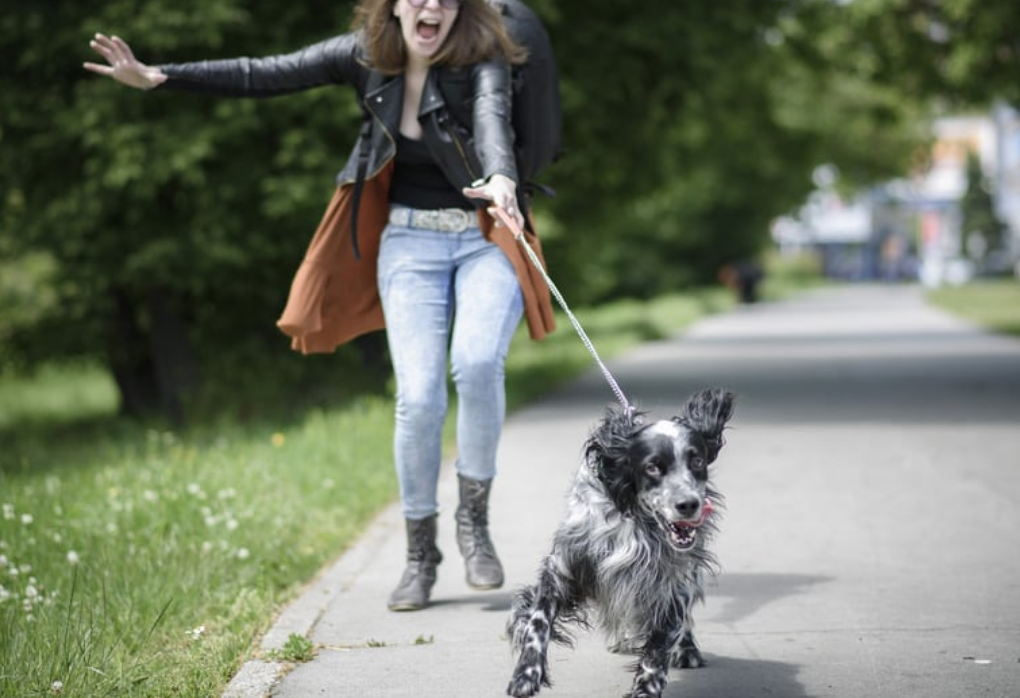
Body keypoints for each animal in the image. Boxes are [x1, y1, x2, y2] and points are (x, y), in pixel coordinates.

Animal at [507, 387, 734, 698]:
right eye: (652, 467)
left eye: (697, 461)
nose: (688, 504)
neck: (635, 519)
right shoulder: (564, 566)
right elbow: (537, 622)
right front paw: (526, 673)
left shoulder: (670, 583)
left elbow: (657, 648)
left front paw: (647, 687)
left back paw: (686, 649)